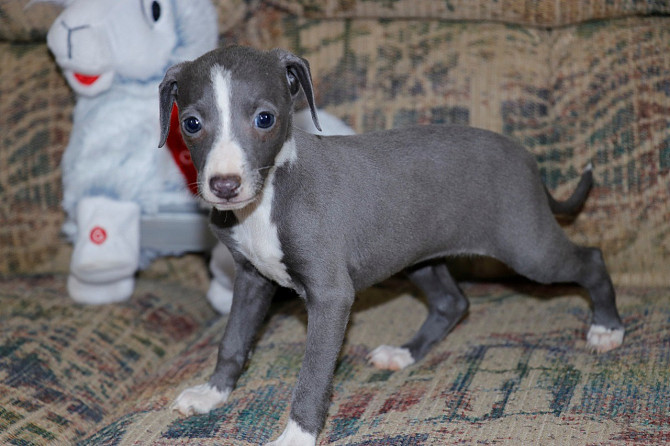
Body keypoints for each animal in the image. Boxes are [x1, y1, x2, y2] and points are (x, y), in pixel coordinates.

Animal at [158, 45, 624, 446]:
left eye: (265, 118)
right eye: (191, 124)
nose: (224, 186)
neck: (271, 193)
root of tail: (528, 161)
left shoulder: (331, 296)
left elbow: (313, 375)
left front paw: (296, 435)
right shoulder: (252, 279)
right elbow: (233, 340)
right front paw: (212, 393)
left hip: (528, 247)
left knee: (590, 259)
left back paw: (607, 328)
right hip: (418, 257)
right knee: (452, 302)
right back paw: (404, 354)